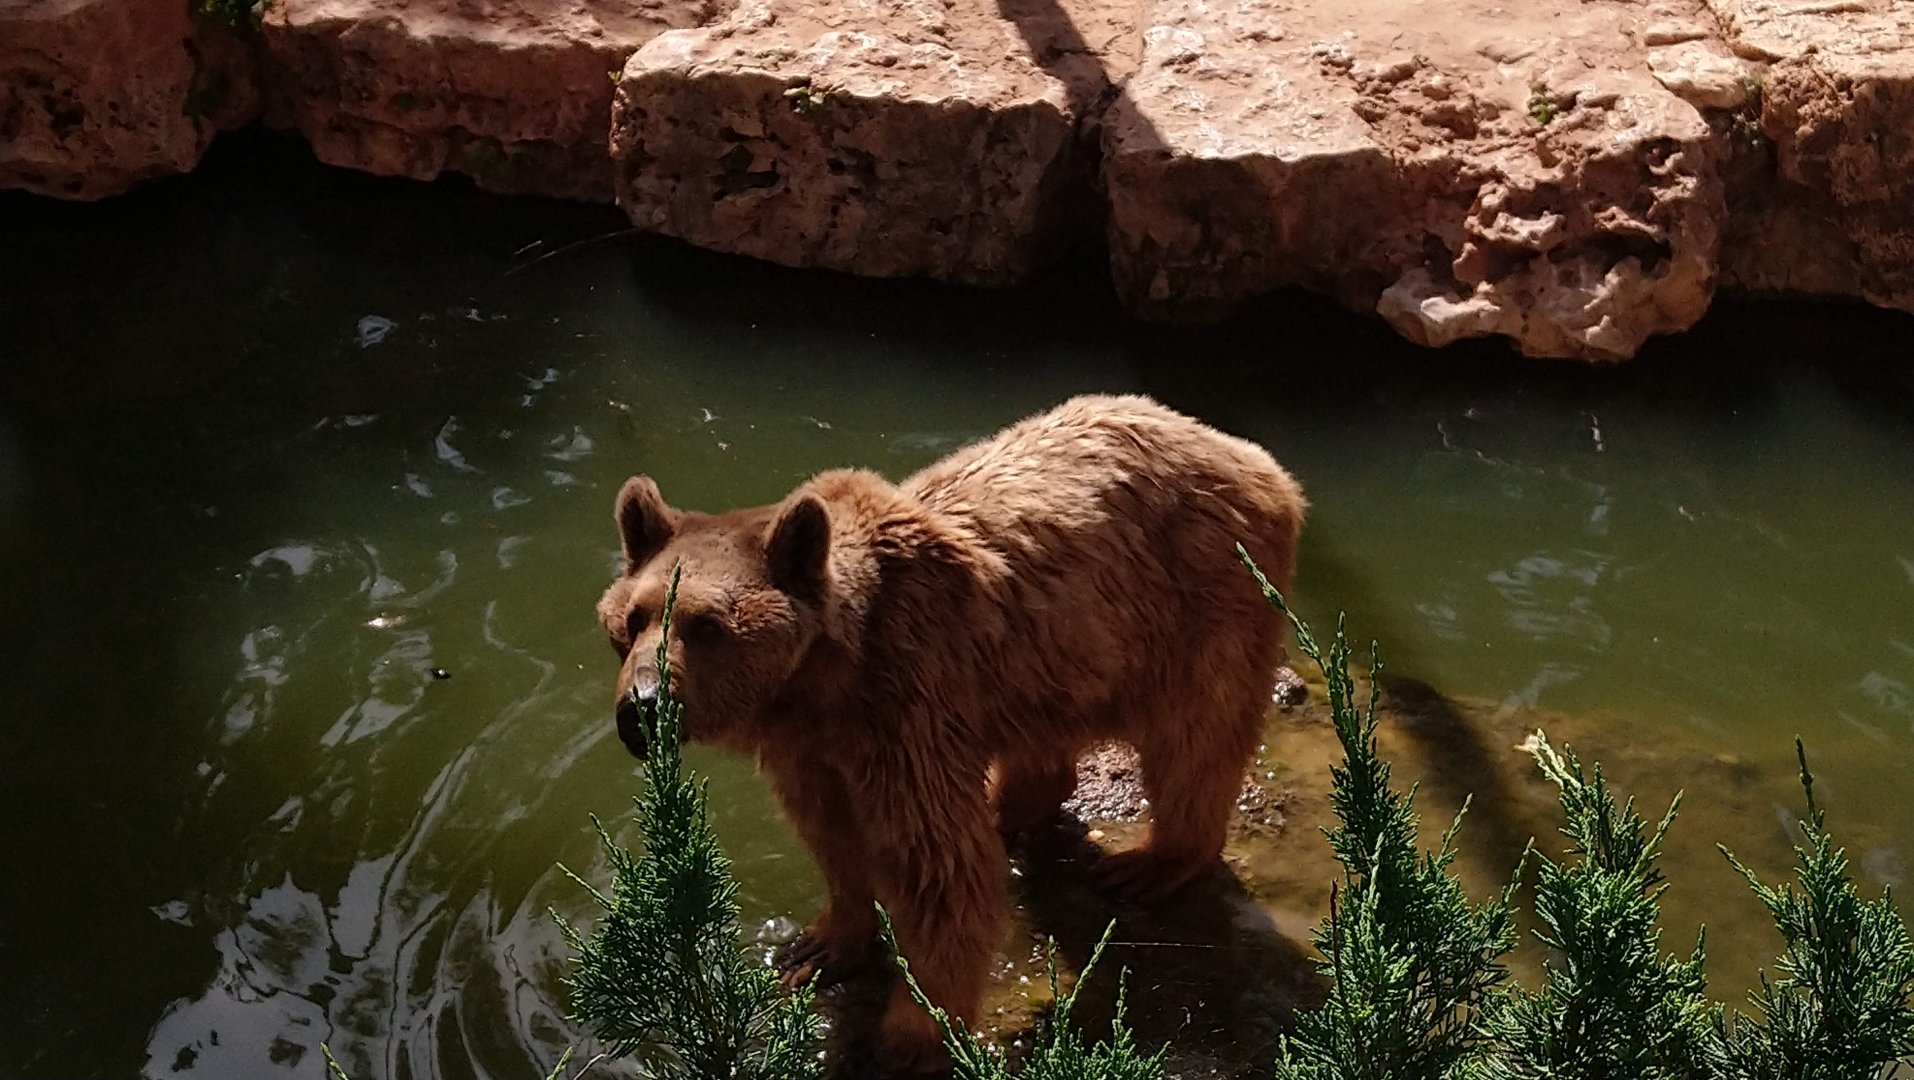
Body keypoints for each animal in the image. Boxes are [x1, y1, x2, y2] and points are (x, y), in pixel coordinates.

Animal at [594, 393, 1305, 1072]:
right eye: (633, 619)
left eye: (706, 624)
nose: (642, 706)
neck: (825, 684)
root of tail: (1257, 461)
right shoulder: (815, 747)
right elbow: (834, 834)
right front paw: (816, 946)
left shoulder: (907, 706)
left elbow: (938, 866)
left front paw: (910, 1035)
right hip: (1047, 661)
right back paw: (1012, 809)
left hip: (1197, 595)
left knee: (1195, 736)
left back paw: (1149, 863)